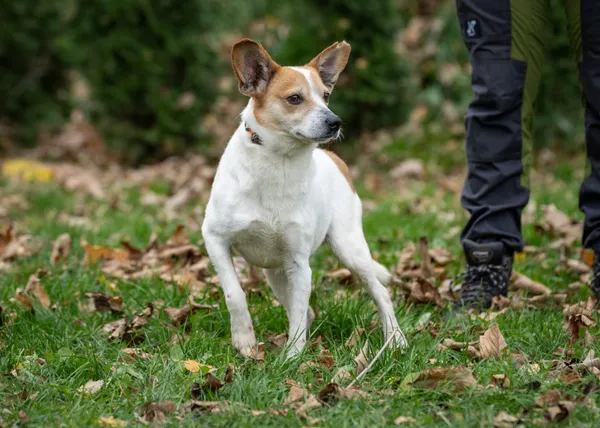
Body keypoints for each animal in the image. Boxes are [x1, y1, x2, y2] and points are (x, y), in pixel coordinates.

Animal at [202, 38, 408, 358]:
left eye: (326, 96)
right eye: (295, 98)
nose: (336, 122)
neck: (278, 161)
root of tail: (333, 158)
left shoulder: (299, 264)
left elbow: (298, 314)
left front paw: (292, 358)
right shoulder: (214, 239)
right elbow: (234, 293)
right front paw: (244, 339)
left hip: (349, 249)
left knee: (380, 293)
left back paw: (395, 338)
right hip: (276, 274)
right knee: (304, 309)